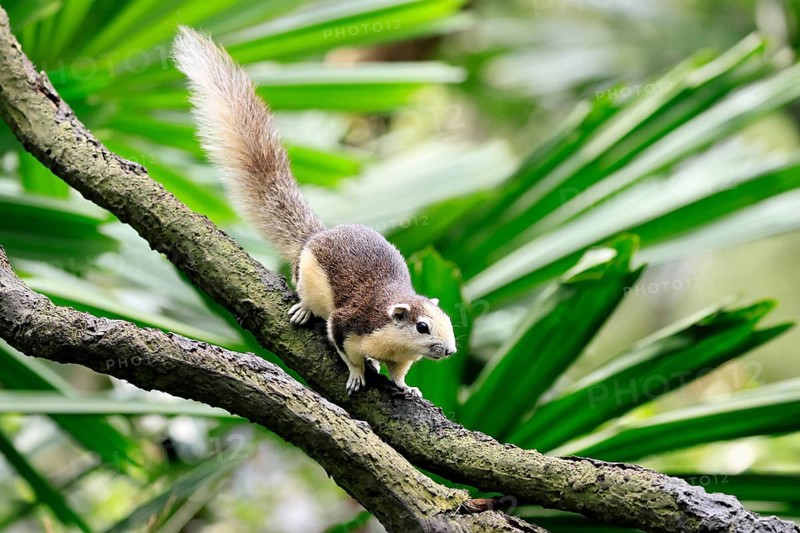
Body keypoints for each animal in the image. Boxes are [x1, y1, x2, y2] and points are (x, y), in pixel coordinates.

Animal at [172, 28, 457, 397]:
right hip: (307, 279)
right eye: (422, 326)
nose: (450, 350)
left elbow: (399, 373)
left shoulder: (402, 357)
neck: (394, 341)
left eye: (449, 321)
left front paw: (407, 387)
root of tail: (314, 235)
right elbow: (347, 351)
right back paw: (303, 311)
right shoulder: (347, 325)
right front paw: (357, 374)